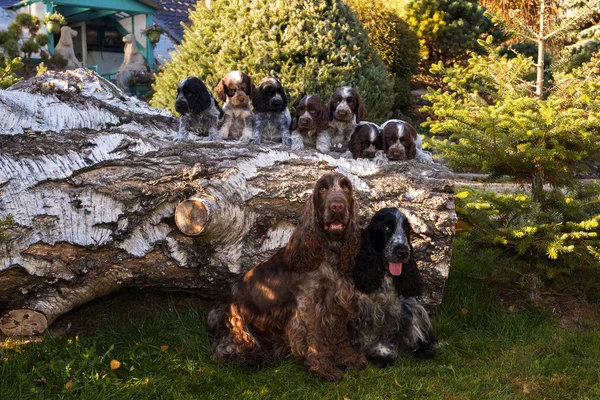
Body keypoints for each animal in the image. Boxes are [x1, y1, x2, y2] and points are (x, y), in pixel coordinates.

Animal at [346, 208, 436, 368]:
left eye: (406, 229)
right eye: (386, 228)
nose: (403, 252)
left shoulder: (390, 310)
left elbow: (384, 333)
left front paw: (382, 354)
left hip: (411, 308)